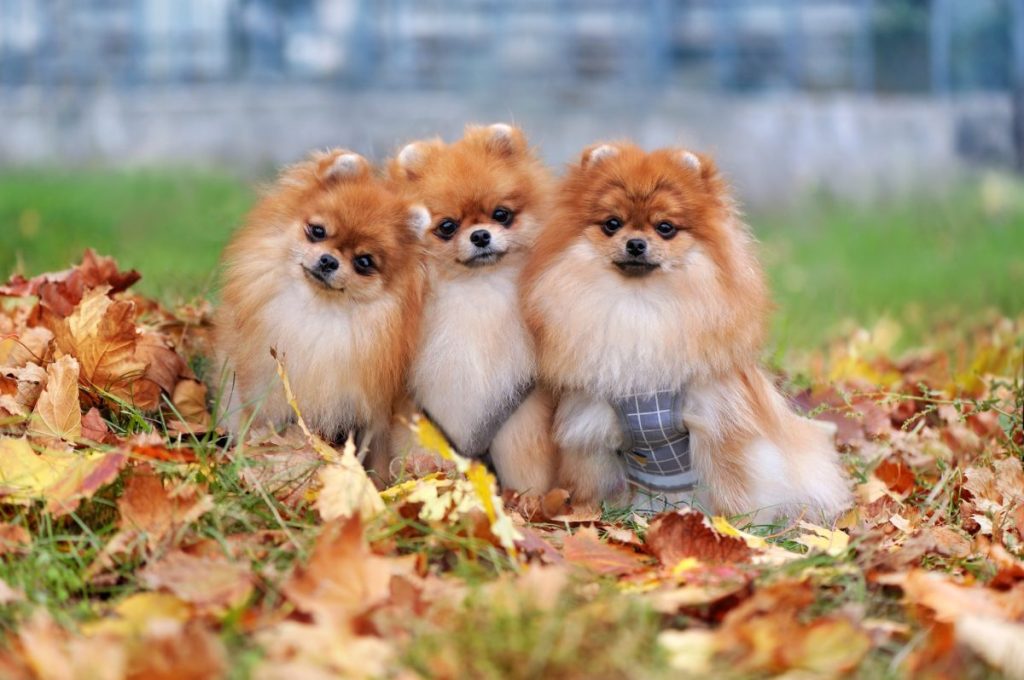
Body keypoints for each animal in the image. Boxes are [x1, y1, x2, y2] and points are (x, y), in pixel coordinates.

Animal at [214, 150, 425, 475]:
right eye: (317, 231)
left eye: (364, 262)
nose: (328, 261)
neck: (317, 314)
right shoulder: (262, 390)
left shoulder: (371, 415)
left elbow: (374, 459)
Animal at [387, 123, 557, 493]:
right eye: (447, 226)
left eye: (501, 215)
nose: (480, 236)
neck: (477, 289)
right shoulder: (421, 415)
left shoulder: (520, 415)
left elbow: (527, 466)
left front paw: (529, 501)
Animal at [524, 140, 851, 518]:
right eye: (612, 224)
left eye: (665, 227)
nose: (636, 243)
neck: (640, 305)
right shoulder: (592, 429)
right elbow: (592, 482)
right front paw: (589, 514)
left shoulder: (720, 423)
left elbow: (734, 486)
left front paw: (735, 525)